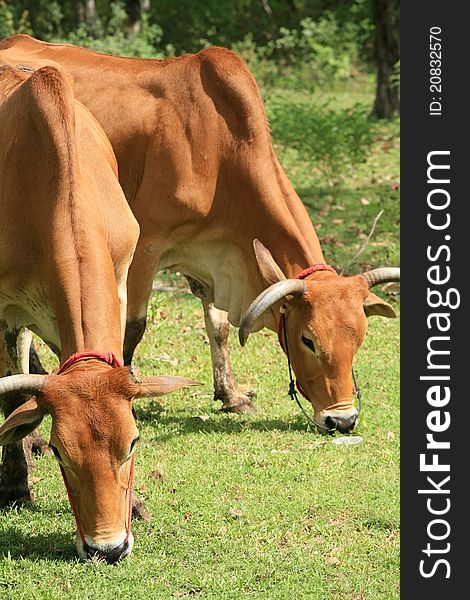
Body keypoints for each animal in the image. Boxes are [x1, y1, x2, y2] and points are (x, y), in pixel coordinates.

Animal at [0, 35, 400, 434]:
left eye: (360, 338)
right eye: (309, 340)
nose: (342, 419)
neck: (221, 146)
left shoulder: (211, 255)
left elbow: (218, 326)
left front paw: (231, 395)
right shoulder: (145, 250)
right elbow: (133, 329)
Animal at [0, 62, 196, 564]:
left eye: (132, 443)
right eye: (61, 452)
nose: (108, 548)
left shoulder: (121, 280)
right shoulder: (5, 311)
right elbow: (12, 395)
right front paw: (16, 485)